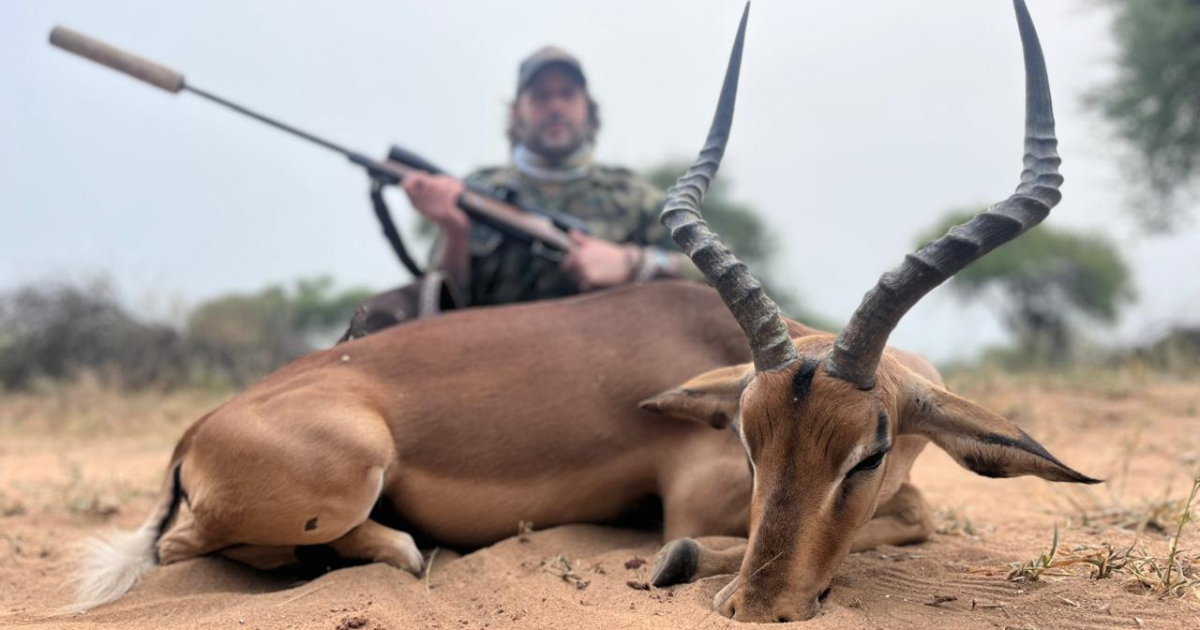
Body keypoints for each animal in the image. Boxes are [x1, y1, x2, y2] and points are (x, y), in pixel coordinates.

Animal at [68, 0, 1089, 619]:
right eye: (747, 440)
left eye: (865, 448)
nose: (758, 607)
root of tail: (199, 430)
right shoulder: (699, 496)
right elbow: (913, 512)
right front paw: (682, 564)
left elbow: (917, 505)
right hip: (349, 471)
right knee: (195, 547)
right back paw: (405, 550)